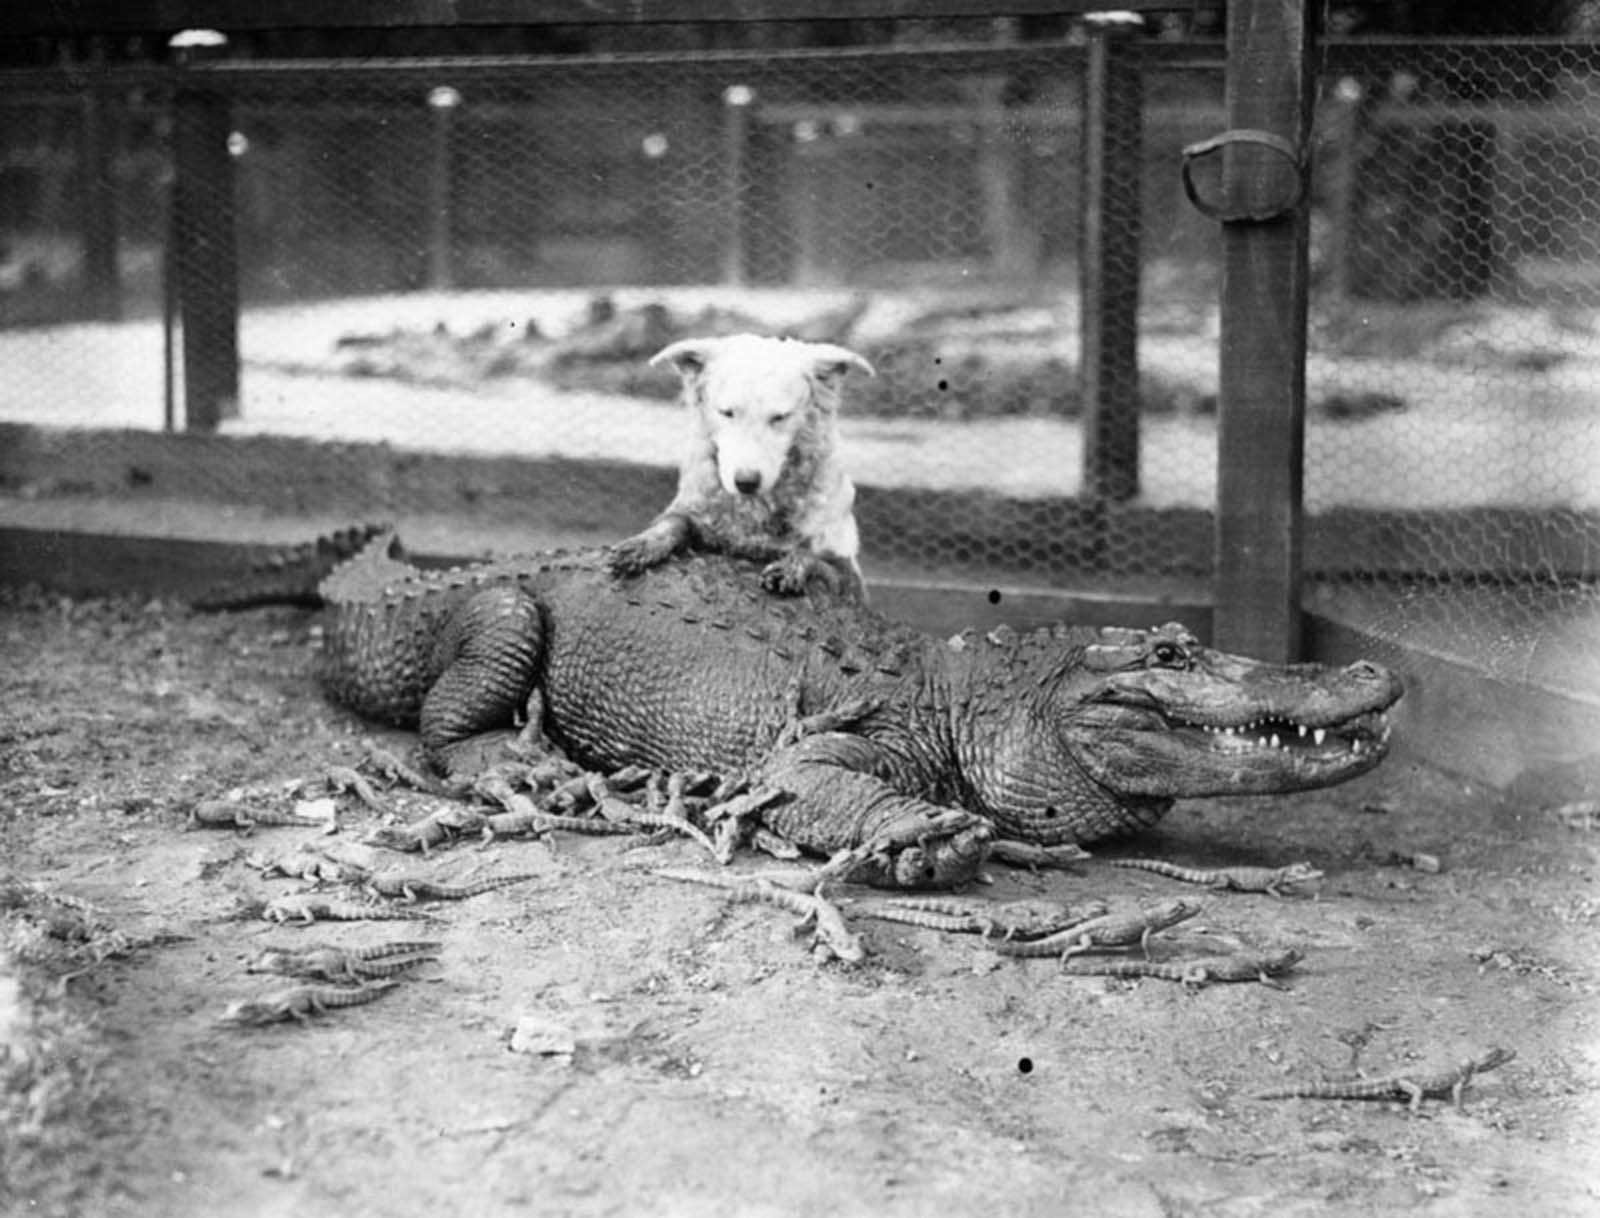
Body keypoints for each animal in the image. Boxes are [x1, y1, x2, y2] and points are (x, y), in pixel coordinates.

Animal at [608, 332, 876, 598]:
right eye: (727, 413)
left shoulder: (848, 572)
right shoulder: (696, 516)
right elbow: (672, 524)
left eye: (779, 417)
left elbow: (812, 556)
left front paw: (790, 568)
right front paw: (641, 545)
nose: (746, 482)